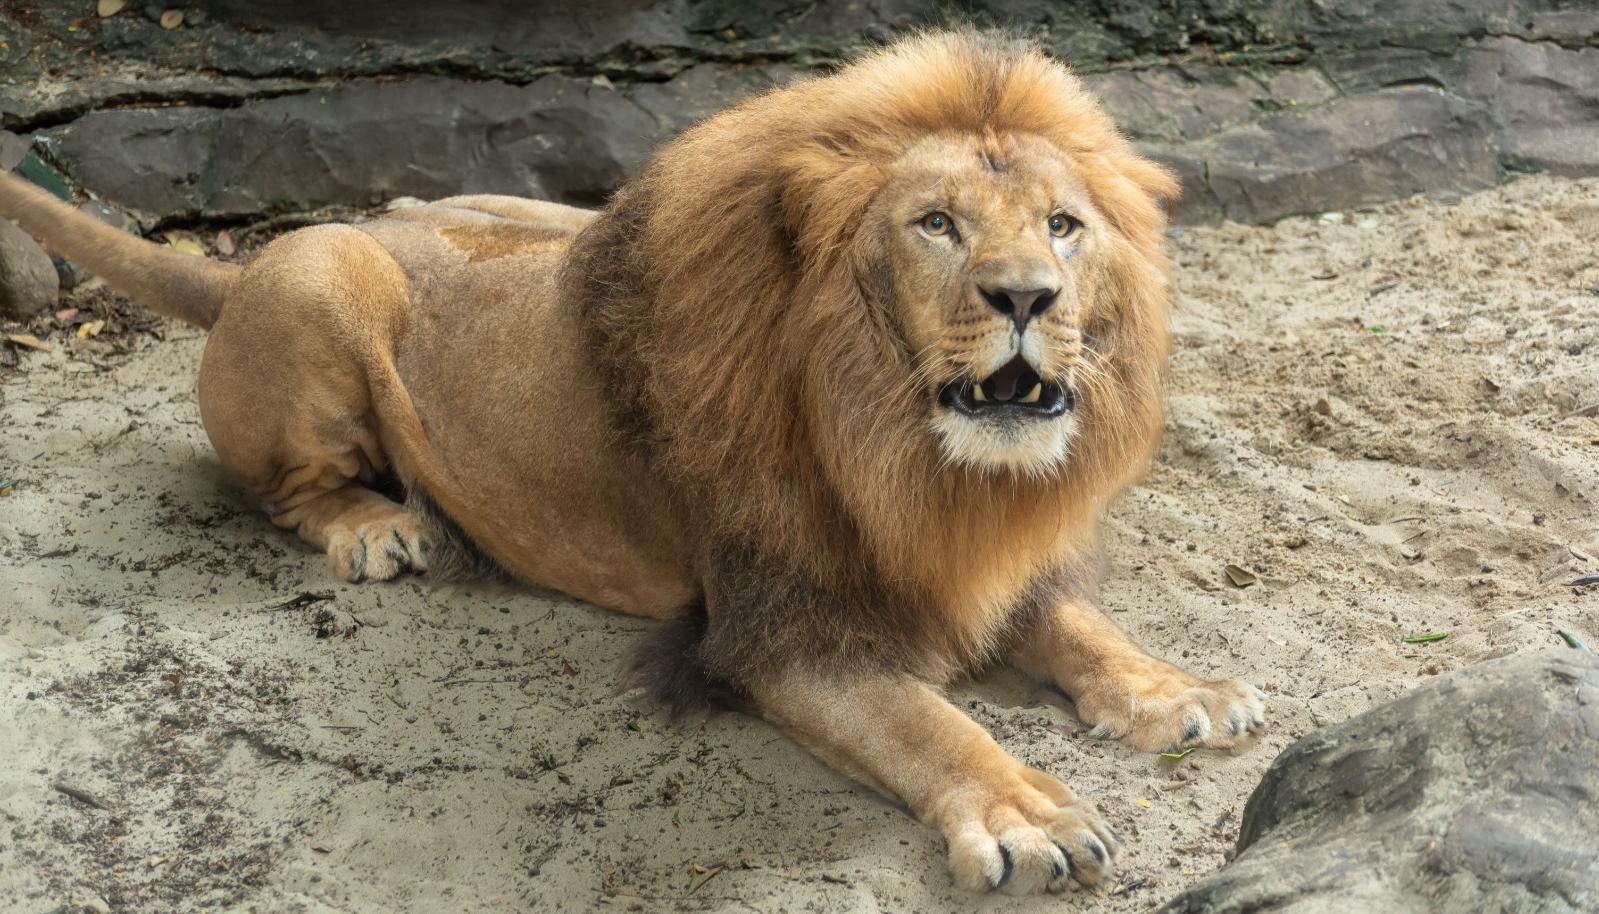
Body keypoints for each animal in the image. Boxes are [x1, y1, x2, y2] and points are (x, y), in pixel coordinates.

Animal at [0, 30, 1264, 894]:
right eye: (938, 224)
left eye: (1063, 225)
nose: (1029, 299)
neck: (906, 451)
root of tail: (263, 254)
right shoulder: (773, 629)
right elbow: (928, 722)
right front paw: (1024, 809)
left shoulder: (982, 557)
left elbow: (1077, 624)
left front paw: (1179, 687)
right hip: (328, 280)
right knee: (285, 487)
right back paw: (384, 527)